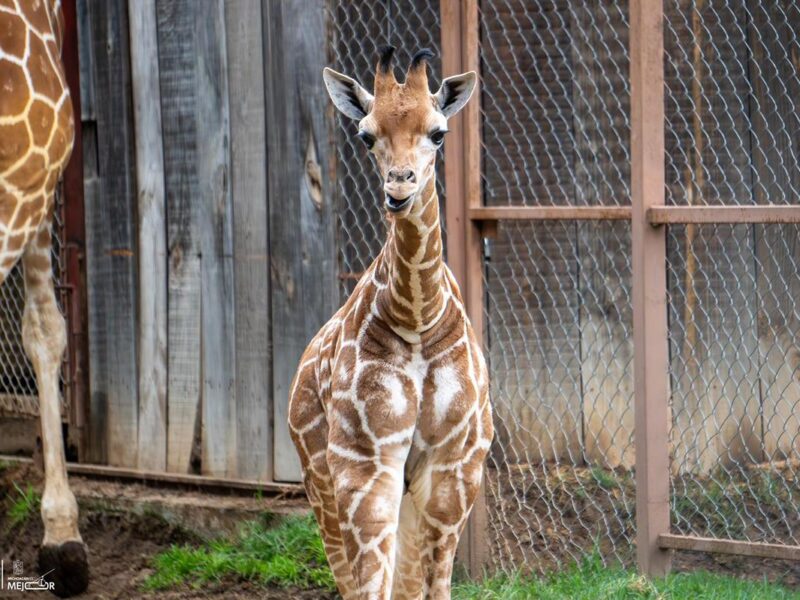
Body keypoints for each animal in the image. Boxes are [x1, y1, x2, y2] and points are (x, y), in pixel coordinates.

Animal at [289, 46, 493, 600]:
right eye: (366, 135)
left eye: (438, 132)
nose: (399, 190)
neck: (418, 316)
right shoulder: (365, 461)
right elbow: (370, 586)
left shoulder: (455, 465)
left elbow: (433, 585)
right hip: (319, 477)